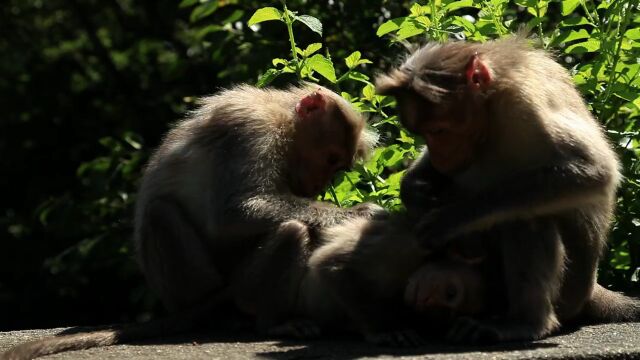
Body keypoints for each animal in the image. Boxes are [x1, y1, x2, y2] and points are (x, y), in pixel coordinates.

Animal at [1, 84, 380, 360]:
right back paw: (251, 319)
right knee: (163, 213)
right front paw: (358, 214)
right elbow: (235, 210)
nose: (319, 185)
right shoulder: (251, 131)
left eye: (338, 167)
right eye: (330, 158)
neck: (282, 118)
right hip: (197, 288)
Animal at [376, 37, 640, 344]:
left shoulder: (524, 103)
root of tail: (592, 289)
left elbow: (596, 171)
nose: (440, 155)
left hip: (569, 292)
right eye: (422, 133)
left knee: (525, 217)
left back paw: (526, 322)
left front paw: (451, 219)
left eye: (439, 131)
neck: (490, 112)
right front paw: (413, 190)